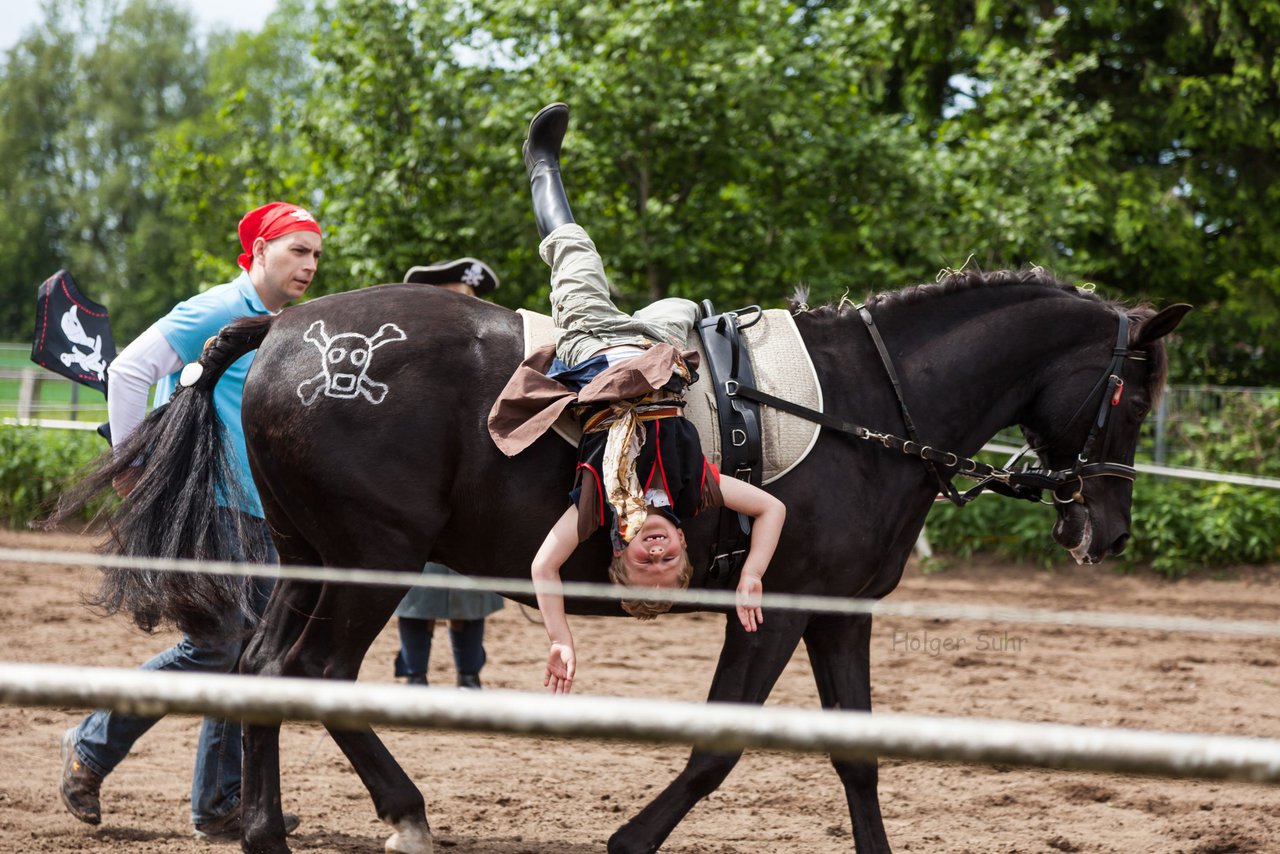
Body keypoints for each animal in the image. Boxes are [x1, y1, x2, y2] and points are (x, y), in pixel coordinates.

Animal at [55, 270, 1182, 850]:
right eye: (1133, 391)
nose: (1105, 529)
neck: (869, 407)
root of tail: (287, 328)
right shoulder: (771, 607)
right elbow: (719, 745)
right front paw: (630, 840)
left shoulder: (838, 612)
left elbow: (857, 755)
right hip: (372, 559)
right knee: (313, 674)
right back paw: (396, 813)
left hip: (313, 559)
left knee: (261, 675)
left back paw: (266, 827)